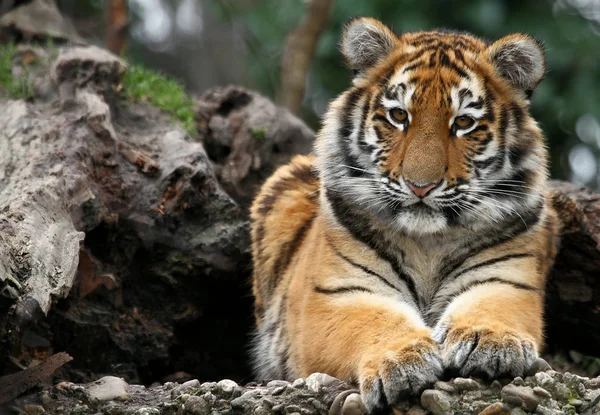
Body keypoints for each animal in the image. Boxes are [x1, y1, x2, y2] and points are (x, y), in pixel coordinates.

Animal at [248, 16, 556, 412]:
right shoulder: (336, 293)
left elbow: (491, 307)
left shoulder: (506, 278)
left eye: (464, 123)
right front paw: (401, 362)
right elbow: (373, 319)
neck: (428, 244)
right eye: (398, 116)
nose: (420, 186)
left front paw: (491, 340)